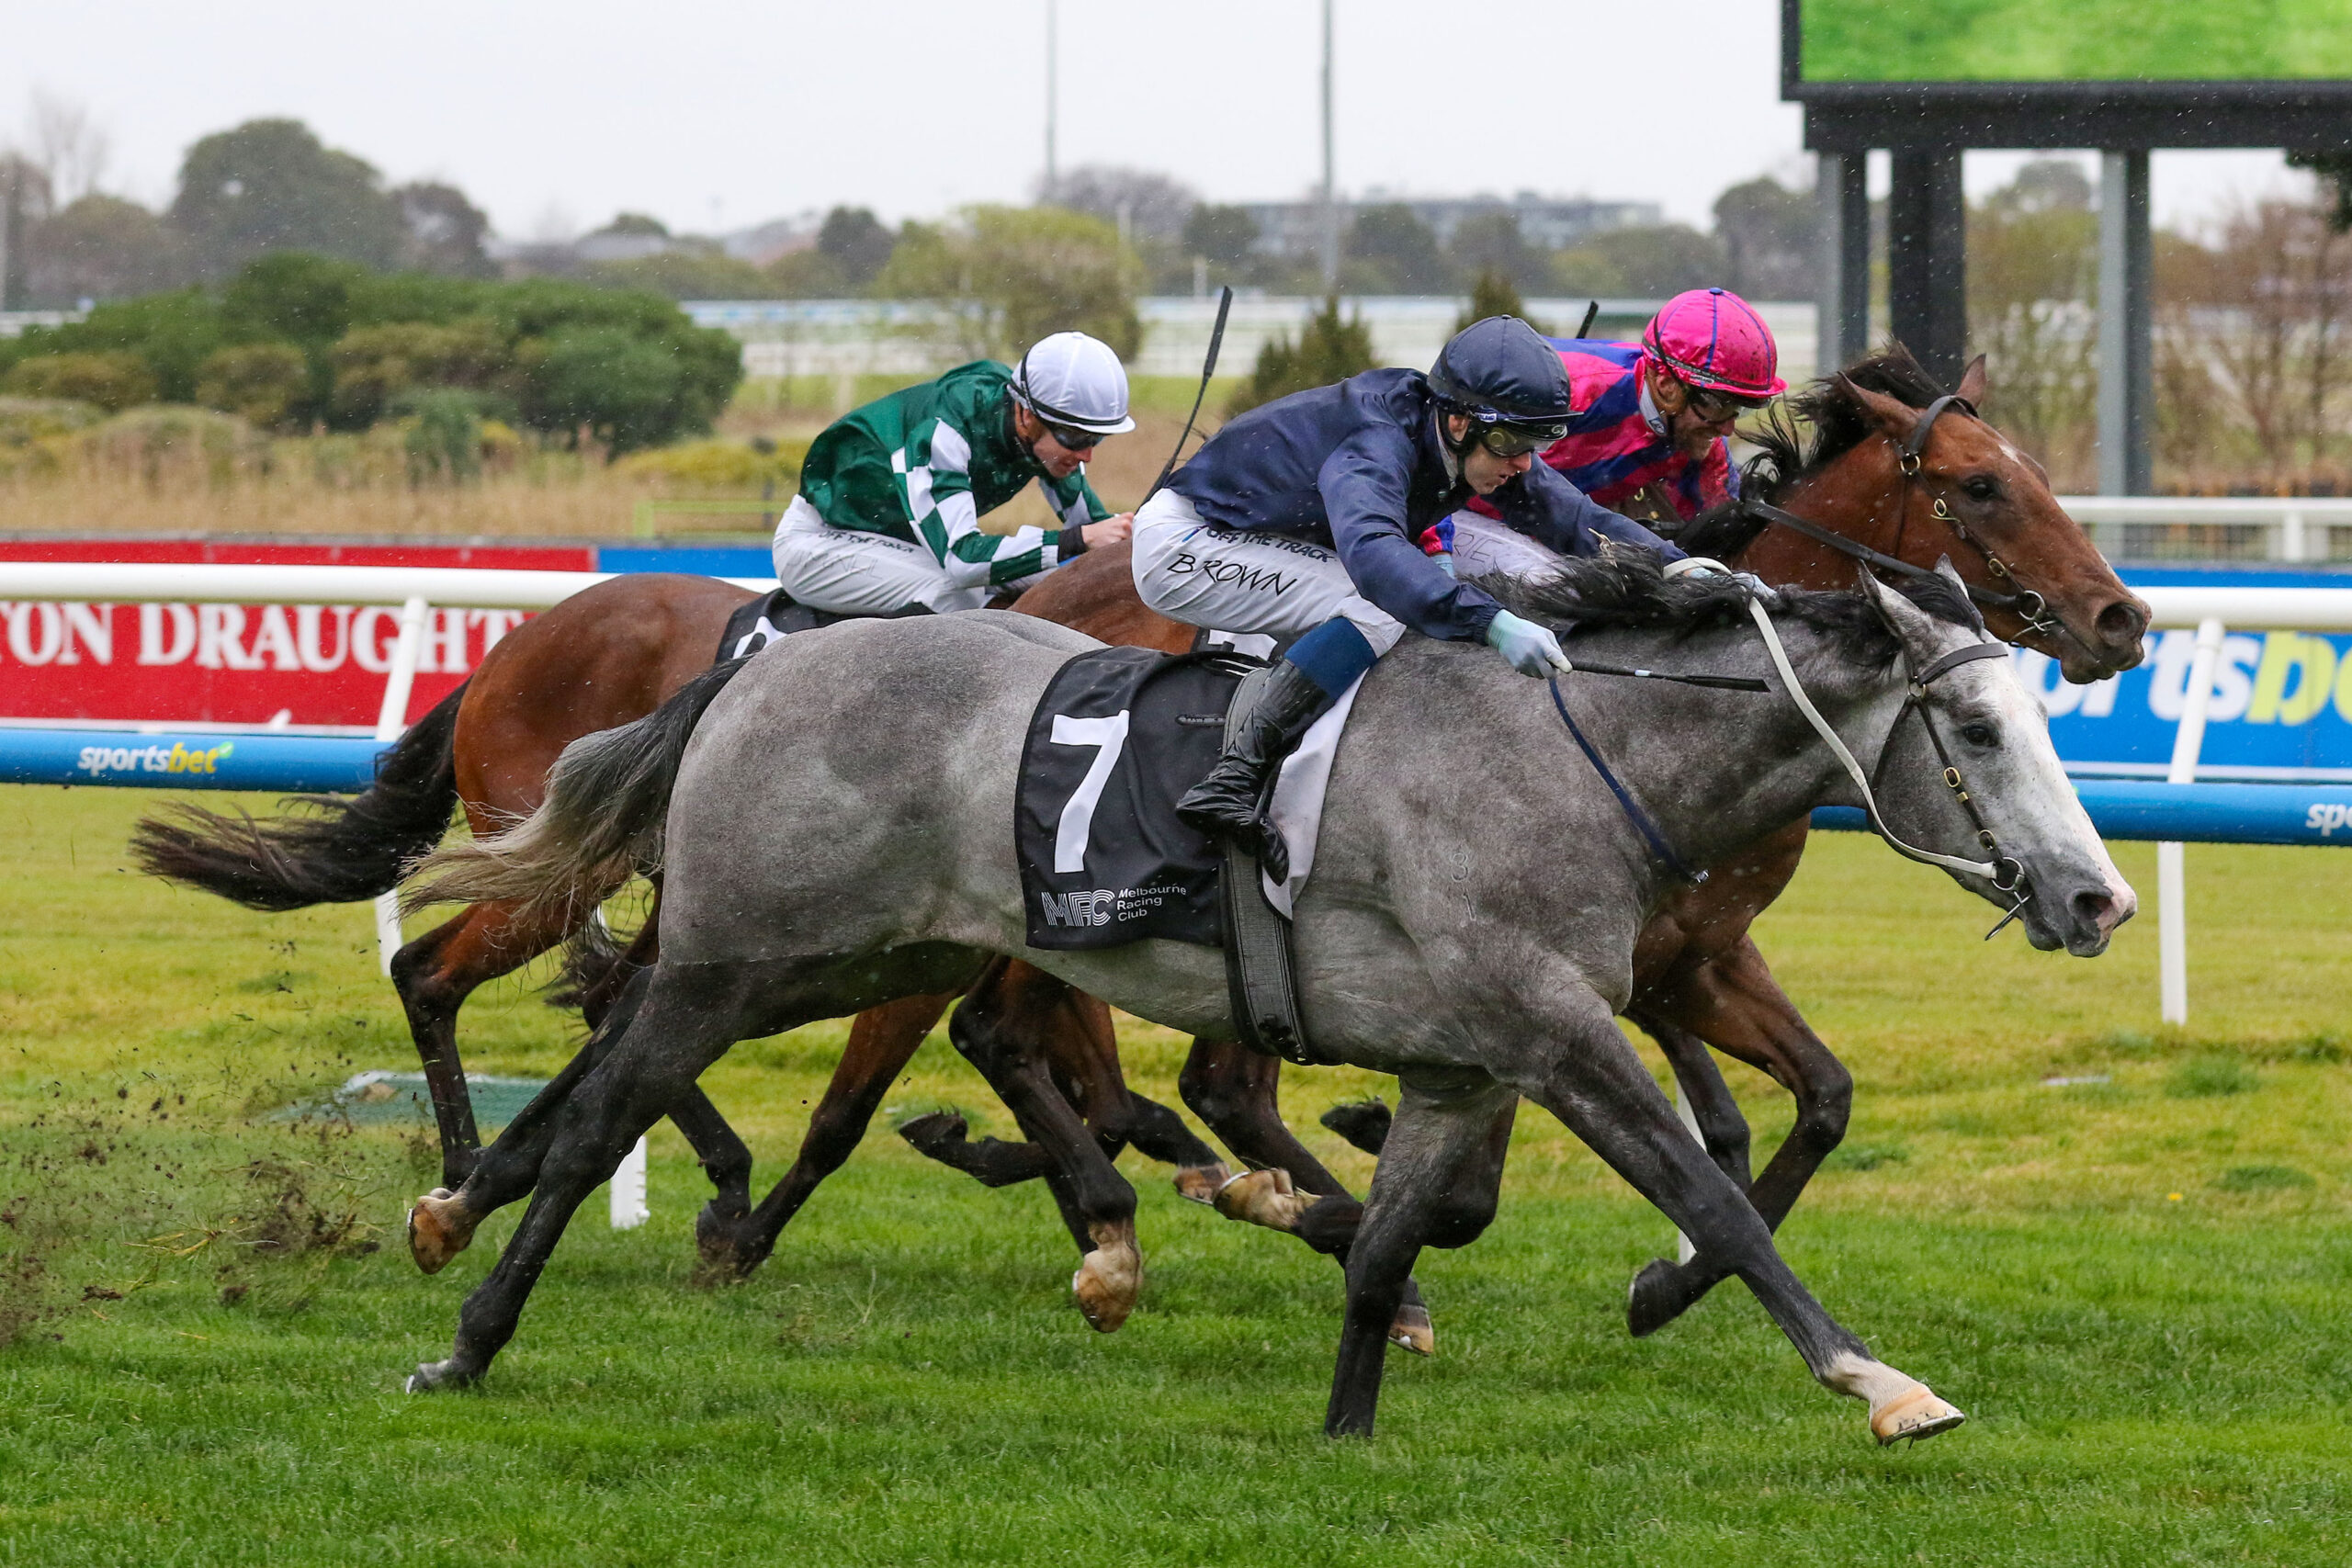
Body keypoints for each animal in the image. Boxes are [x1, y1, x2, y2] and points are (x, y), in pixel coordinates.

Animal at [395, 555, 2134, 1443]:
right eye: (1981, 729)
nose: (2097, 898)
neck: (1574, 752)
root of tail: (761, 662)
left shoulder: (1465, 1060)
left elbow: (1389, 1243)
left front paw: (1348, 1422)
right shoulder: (1560, 1029)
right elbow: (1711, 1195)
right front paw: (1876, 1379)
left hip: (859, 955)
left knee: (619, 1035)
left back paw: (470, 1208)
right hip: (750, 952)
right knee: (599, 1097)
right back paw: (469, 1329)